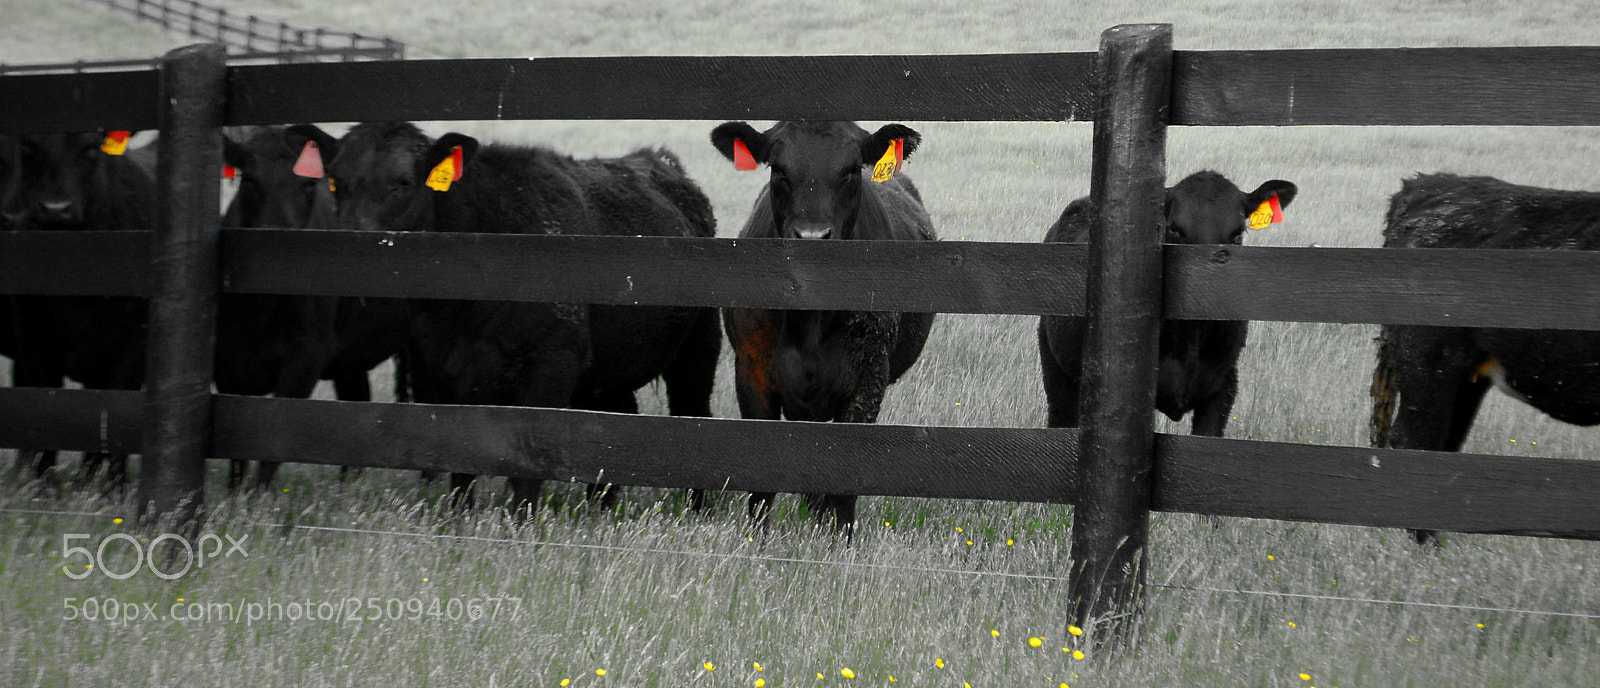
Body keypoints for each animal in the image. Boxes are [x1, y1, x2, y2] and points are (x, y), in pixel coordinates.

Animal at [8, 130, 158, 489]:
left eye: (91, 148)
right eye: (28, 146)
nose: (55, 209)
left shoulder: (133, 346)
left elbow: (112, 412)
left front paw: (109, 489)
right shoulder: (31, 341)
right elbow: (42, 407)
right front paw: (42, 486)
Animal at [328, 122, 721, 512]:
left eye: (403, 182)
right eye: (334, 181)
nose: (350, 246)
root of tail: (661, 162)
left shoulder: (553, 363)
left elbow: (531, 459)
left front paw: (521, 520)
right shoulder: (439, 366)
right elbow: (459, 459)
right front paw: (459, 517)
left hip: (699, 346)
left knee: (693, 413)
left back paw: (696, 507)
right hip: (607, 368)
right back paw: (602, 509)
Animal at [709, 120, 938, 534]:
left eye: (851, 169)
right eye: (779, 169)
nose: (812, 237)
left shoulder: (868, 380)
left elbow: (842, 483)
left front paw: (839, 540)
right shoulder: (752, 372)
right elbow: (763, 482)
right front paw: (756, 541)